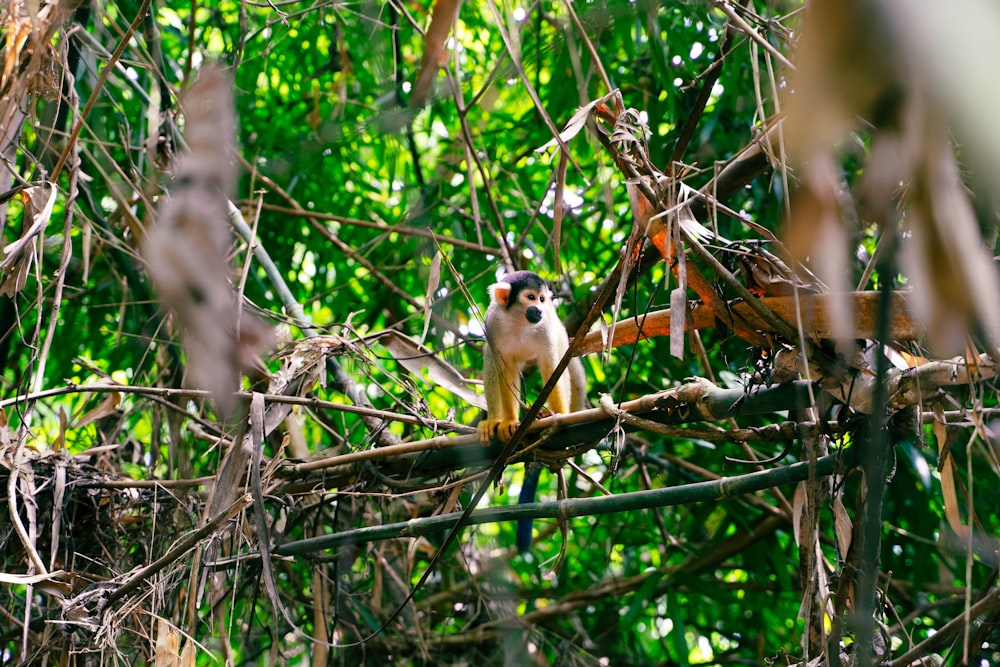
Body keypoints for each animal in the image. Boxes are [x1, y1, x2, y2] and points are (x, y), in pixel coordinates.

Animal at [476, 272, 584, 448]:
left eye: (541, 299)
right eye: (531, 297)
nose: (540, 310)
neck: (519, 321)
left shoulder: (545, 326)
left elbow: (551, 368)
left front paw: (559, 417)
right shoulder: (492, 323)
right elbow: (506, 370)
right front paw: (509, 421)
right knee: (491, 359)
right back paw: (492, 419)